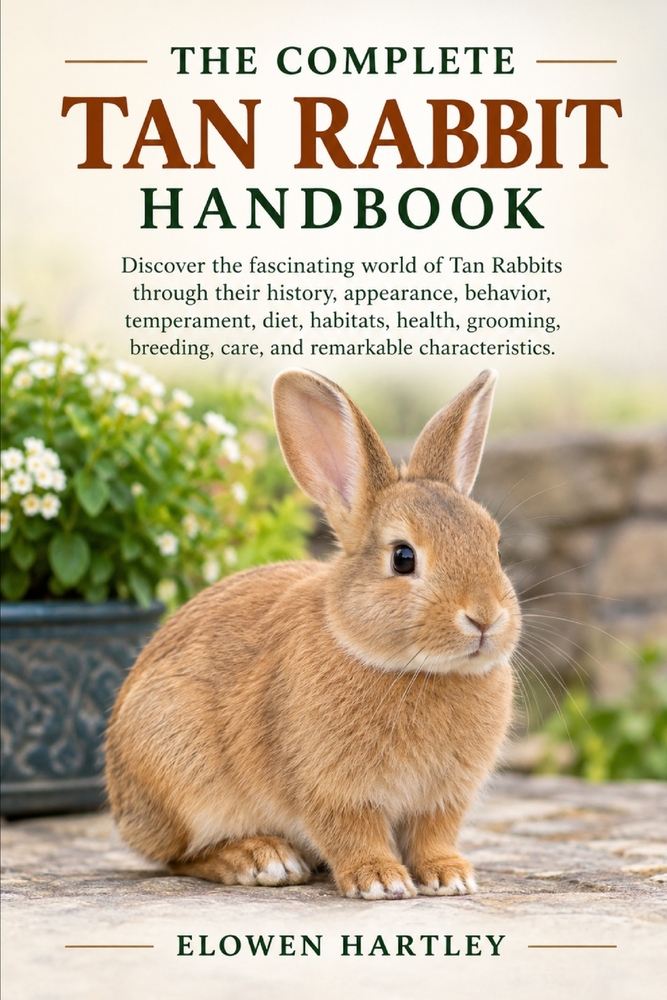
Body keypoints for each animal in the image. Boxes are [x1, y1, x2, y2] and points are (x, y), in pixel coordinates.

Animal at [105, 367, 521, 900]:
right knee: (180, 856)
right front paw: (380, 881)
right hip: (178, 772)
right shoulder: (332, 791)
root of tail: (125, 809)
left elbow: (433, 837)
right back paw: (262, 860)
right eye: (403, 557)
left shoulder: (441, 800)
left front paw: (450, 876)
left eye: (494, 545)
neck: (415, 669)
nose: (485, 618)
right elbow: (351, 832)